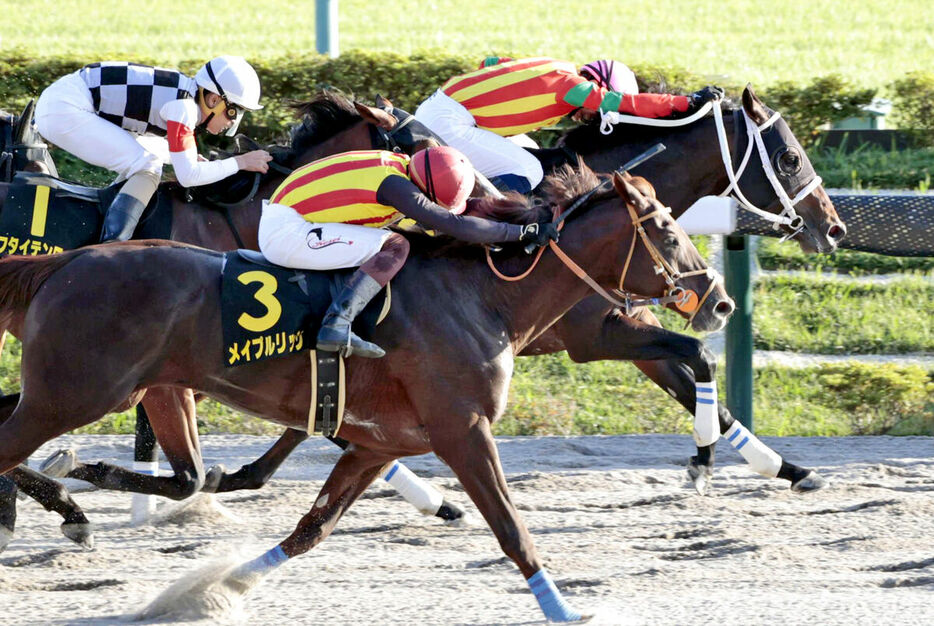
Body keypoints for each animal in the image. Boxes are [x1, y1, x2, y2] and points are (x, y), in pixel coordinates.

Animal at [0, 166, 732, 620]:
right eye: (668, 231)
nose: (719, 301)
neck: (483, 298)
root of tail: (68, 260)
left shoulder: (381, 443)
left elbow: (310, 530)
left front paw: (219, 588)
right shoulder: (463, 430)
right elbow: (512, 529)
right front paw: (563, 608)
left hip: (128, 388)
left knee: (179, 473)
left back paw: (75, 488)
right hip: (77, 392)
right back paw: (69, 490)